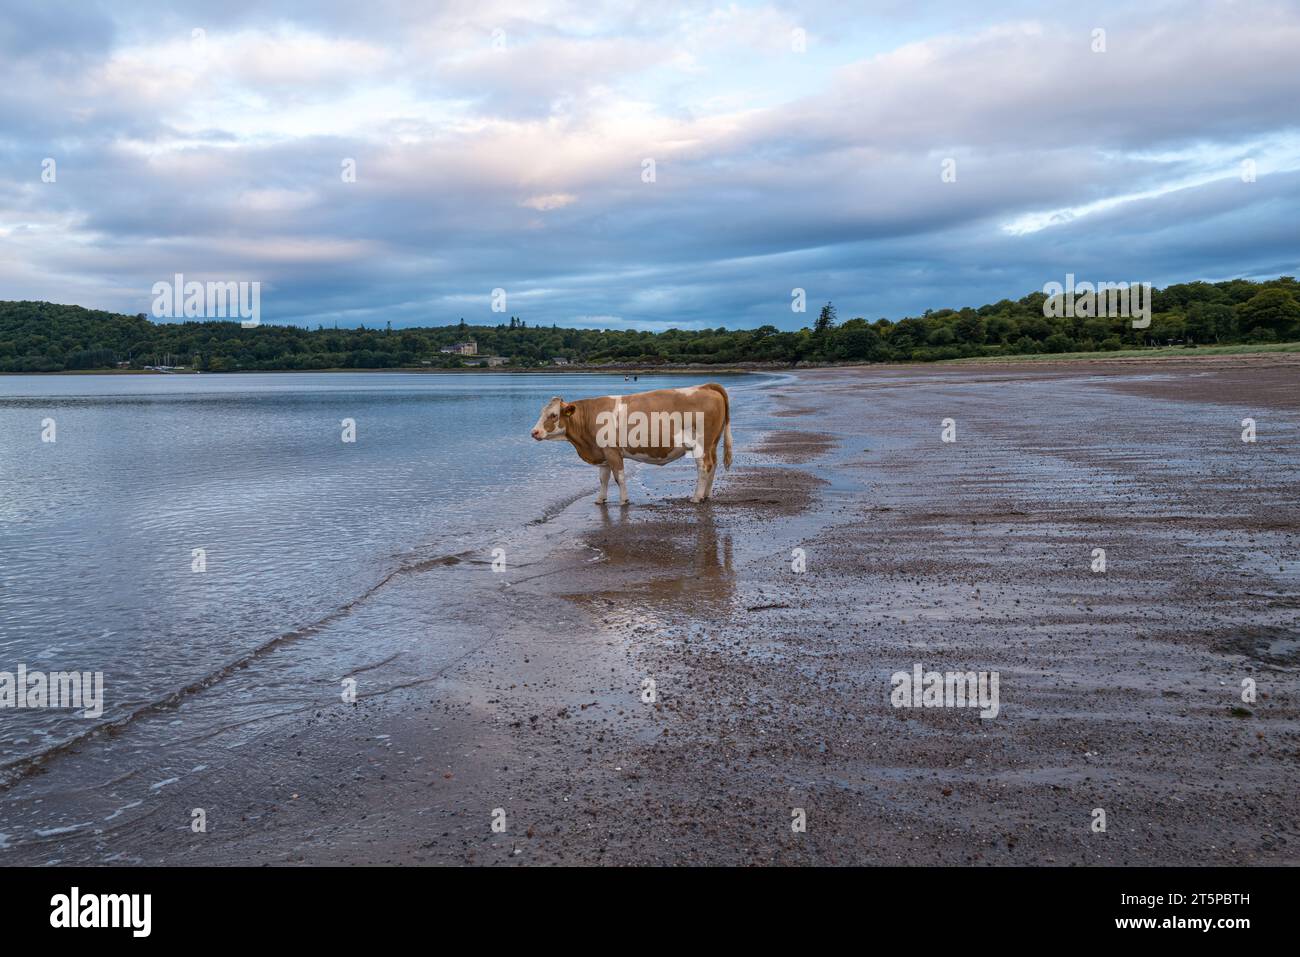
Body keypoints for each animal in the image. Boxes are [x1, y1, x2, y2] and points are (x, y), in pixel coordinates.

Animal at [527, 382, 733, 504]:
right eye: (542, 412)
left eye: (553, 415)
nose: (534, 432)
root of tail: (705, 386)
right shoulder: (603, 453)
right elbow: (603, 478)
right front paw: (600, 500)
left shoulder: (612, 451)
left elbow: (619, 477)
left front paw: (623, 501)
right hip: (713, 443)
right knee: (713, 465)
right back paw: (706, 494)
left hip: (701, 444)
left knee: (704, 467)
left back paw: (696, 497)